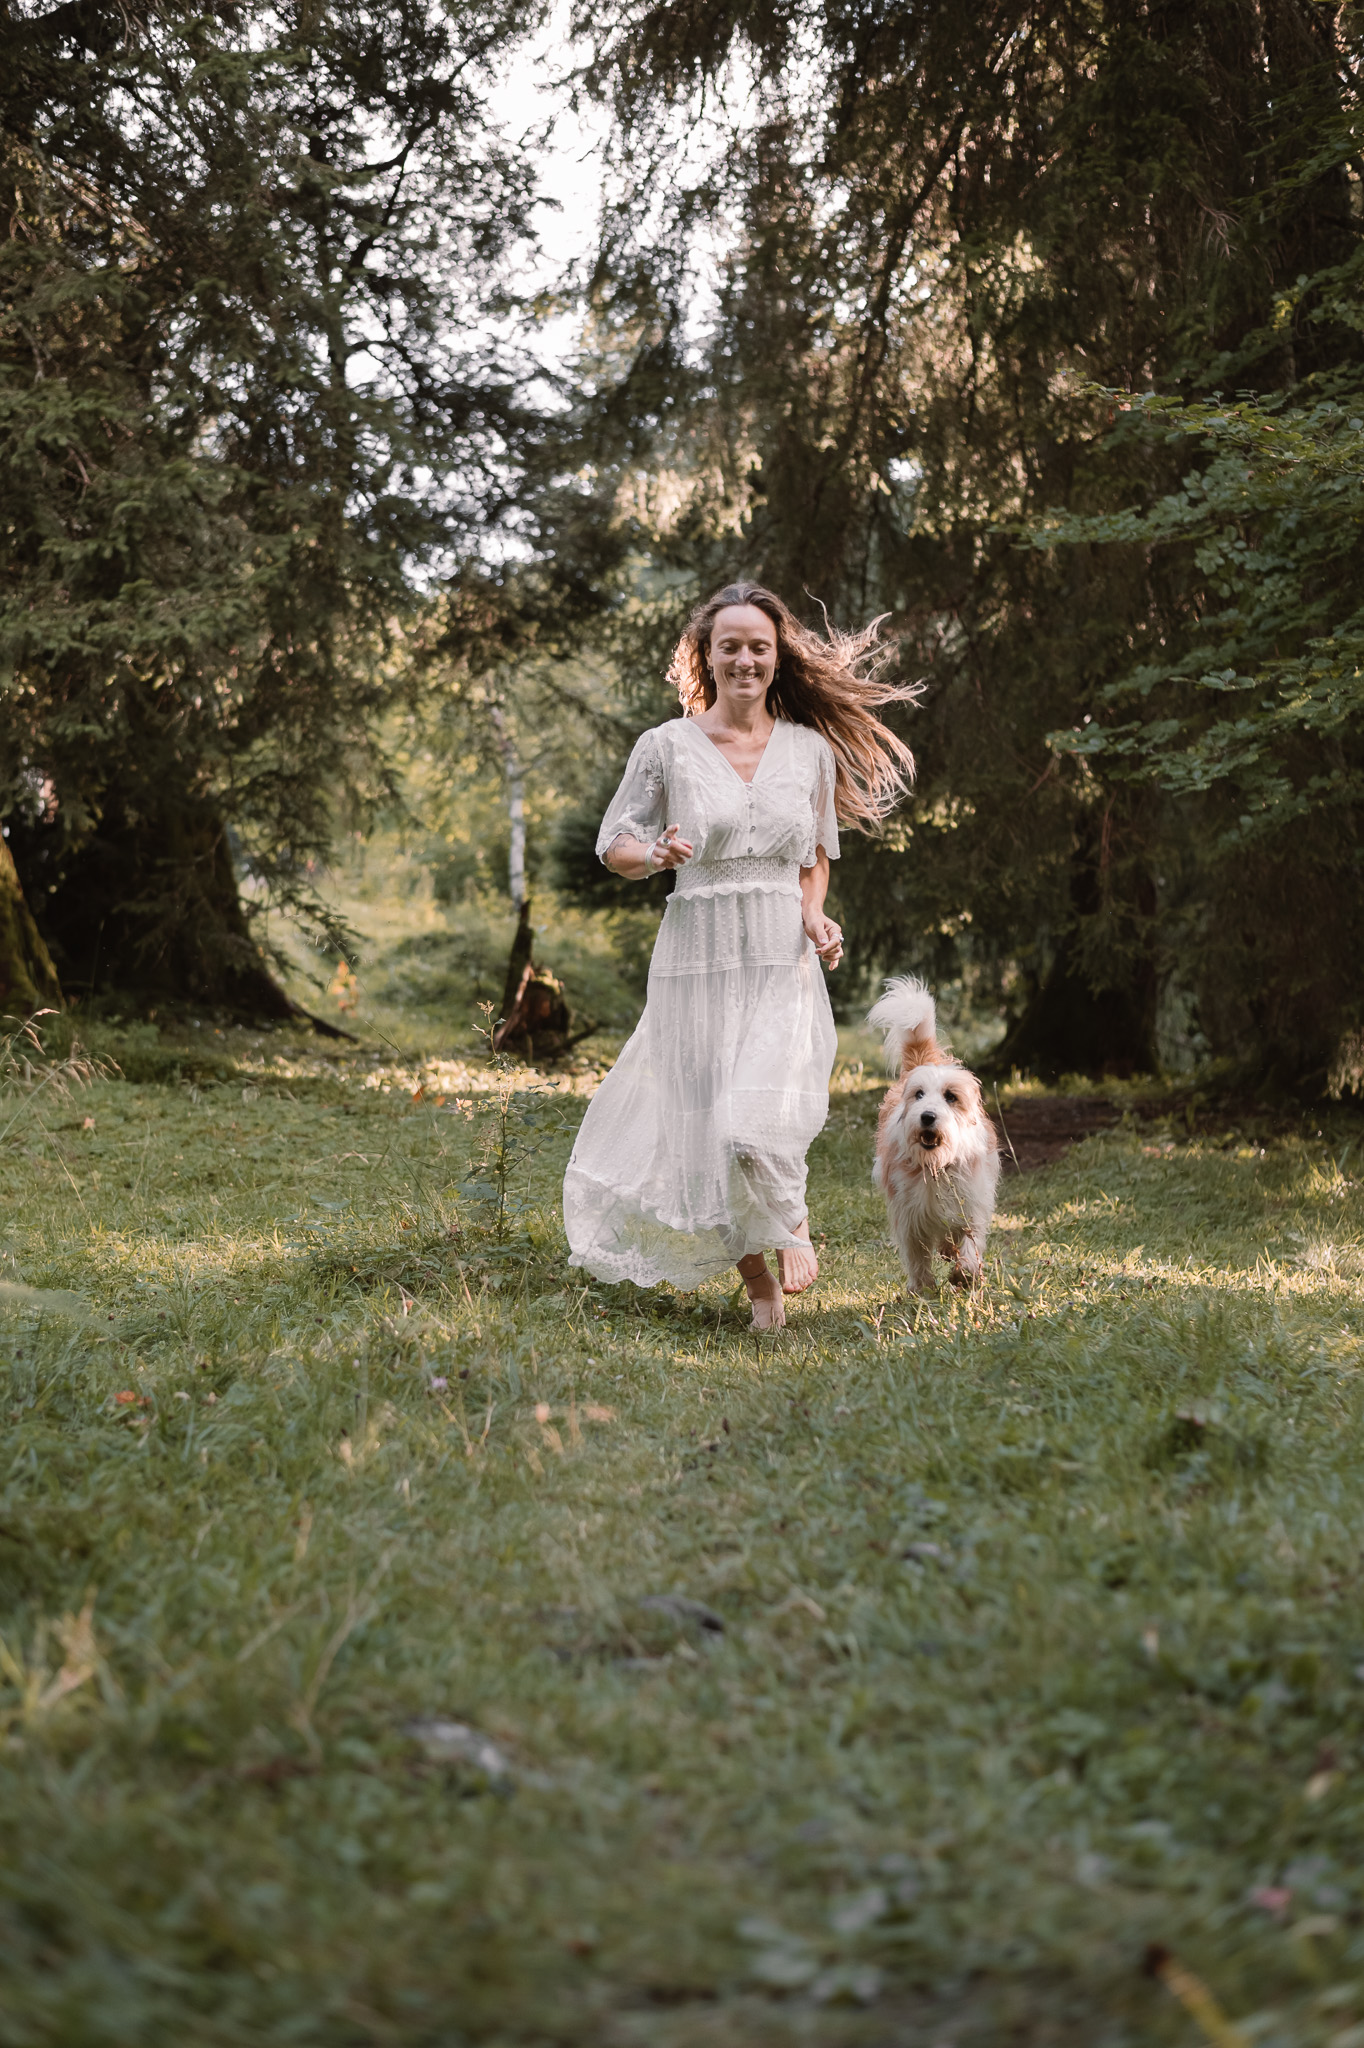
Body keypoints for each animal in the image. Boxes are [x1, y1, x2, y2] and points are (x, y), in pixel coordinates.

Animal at [864, 978, 995, 1294]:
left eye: (950, 1097)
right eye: (919, 1094)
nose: (927, 1116)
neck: (936, 1164)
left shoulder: (971, 1203)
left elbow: (970, 1243)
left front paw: (965, 1274)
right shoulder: (910, 1215)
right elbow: (917, 1255)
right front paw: (922, 1288)